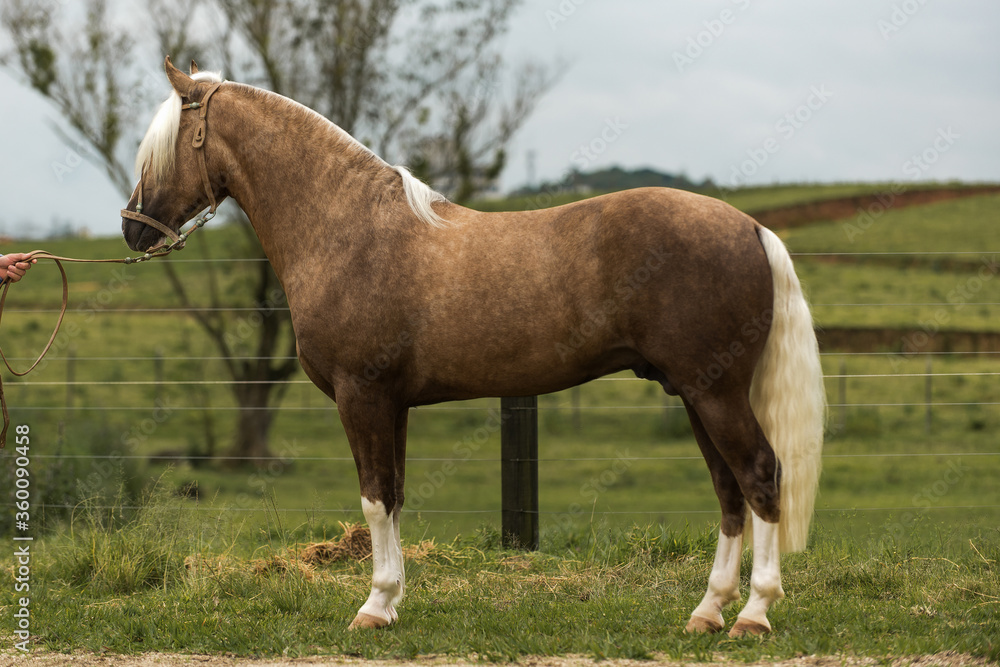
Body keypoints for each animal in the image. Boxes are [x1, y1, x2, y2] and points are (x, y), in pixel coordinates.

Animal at [123, 57, 828, 636]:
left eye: (161, 147)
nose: (132, 229)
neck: (348, 228)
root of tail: (750, 226)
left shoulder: (362, 396)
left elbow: (373, 496)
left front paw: (373, 607)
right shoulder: (393, 405)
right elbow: (394, 496)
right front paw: (392, 602)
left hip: (715, 393)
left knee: (760, 476)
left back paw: (753, 615)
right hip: (696, 393)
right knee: (729, 490)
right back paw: (707, 612)